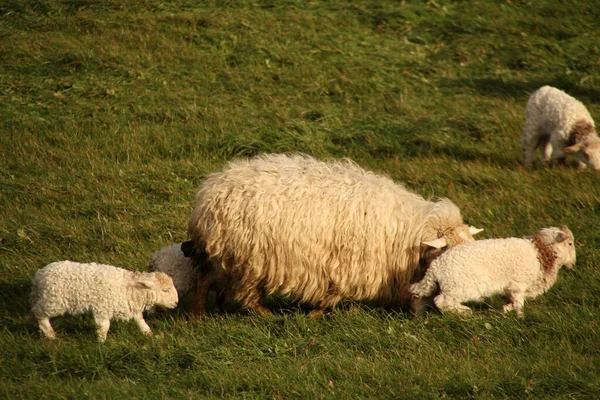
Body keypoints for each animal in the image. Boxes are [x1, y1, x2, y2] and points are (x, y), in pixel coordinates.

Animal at [31, 260, 178, 342]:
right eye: (165, 290)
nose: (176, 303)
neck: (130, 288)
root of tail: (39, 275)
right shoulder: (102, 307)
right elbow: (104, 327)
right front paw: (101, 343)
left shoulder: (130, 305)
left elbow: (140, 320)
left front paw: (148, 333)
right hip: (53, 300)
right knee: (39, 313)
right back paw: (51, 335)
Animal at [185, 152, 480, 316]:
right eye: (451, 250)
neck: (411, 228)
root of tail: (210, 190)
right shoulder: (345, 266)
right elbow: (332, 296)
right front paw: (314, 315)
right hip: (244, 259)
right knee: (220, 288)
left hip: (227, 257)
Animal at [410, 223, 576, 318]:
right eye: (570, 244)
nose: (573, 264)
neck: (540, 254)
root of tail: (436, 266)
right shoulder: (517, 285)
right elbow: (519, 305)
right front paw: (520, 319)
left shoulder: (510, 289)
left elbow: (512, 303)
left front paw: (503, 310)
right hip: (459, 288)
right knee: (442, 301)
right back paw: (465, 311)